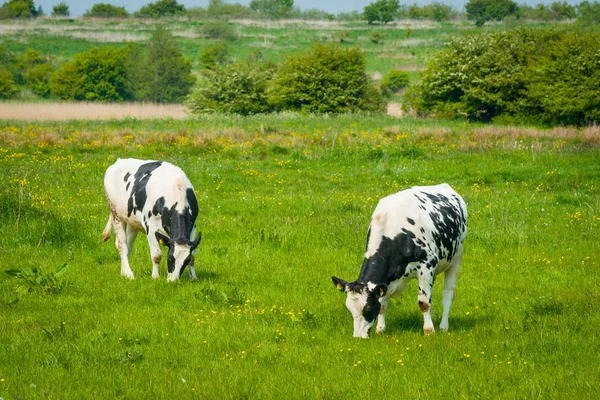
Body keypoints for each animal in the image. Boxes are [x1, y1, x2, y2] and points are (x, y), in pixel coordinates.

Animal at [332, 184, 468, 338]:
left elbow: (424, 302)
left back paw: (443, 326)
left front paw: (428, 331)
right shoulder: (385, 282)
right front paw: (380, 329)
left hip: (456, 258)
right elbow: (383, 305)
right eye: (349, 309)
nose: (358, 337)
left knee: (447, 294)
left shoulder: (426, 266)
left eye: (367, 309)